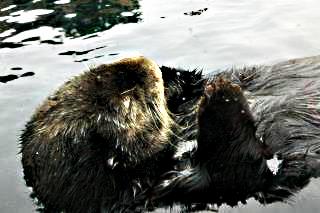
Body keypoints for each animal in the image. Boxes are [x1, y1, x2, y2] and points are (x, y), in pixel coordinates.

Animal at [20, 54, 320, 211]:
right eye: (126, 101)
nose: (143, 62)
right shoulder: (185, 188)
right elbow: (240, 171)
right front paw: (222, 94)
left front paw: (177, 78)